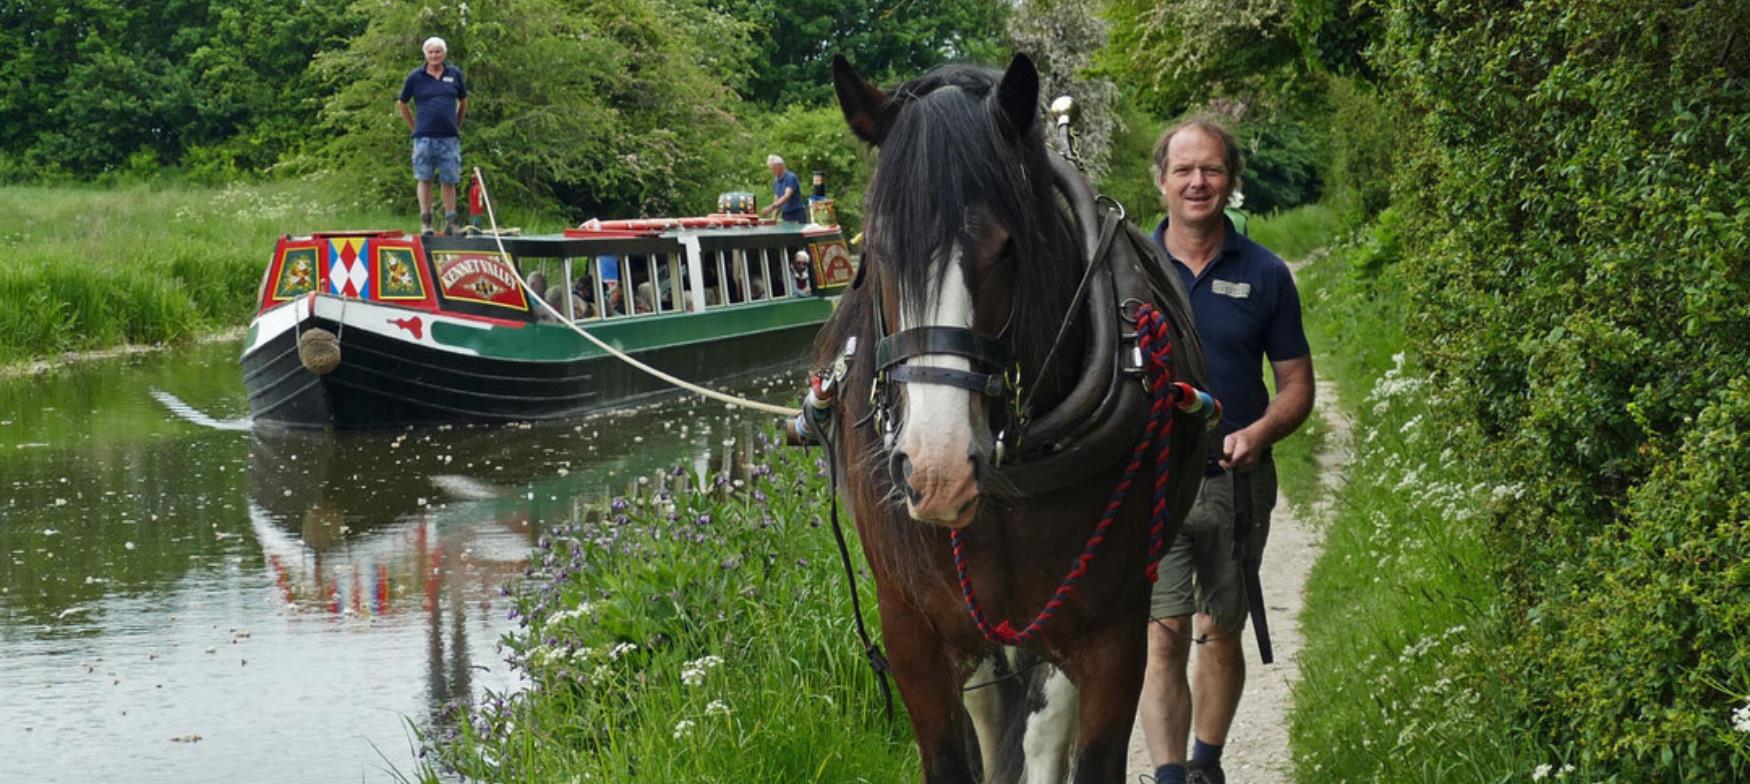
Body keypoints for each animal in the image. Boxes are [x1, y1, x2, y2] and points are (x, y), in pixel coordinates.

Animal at [812, 56, 1211, 784]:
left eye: (1006, 248)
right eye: (876, 249)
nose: (937, 471)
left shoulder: (1110, 634)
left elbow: (1074, 744)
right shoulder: (913, 632)